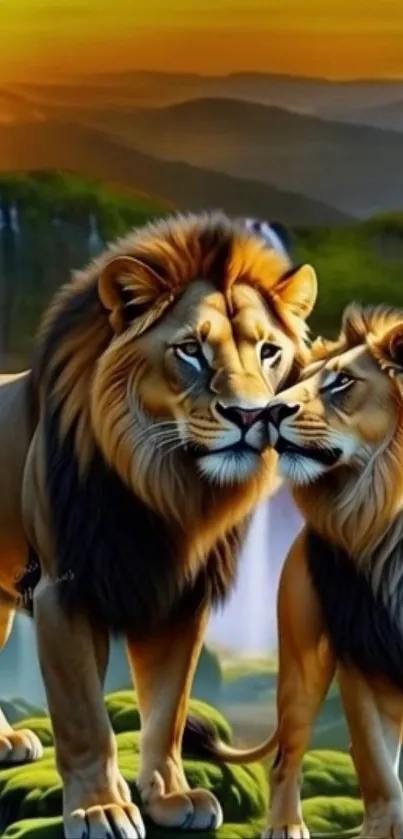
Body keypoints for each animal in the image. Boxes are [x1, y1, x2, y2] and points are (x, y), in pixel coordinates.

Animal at [0, 210, 317, 839]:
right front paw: (100, 808)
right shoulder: (63, 590)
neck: (166, 486)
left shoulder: (180, 596)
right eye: (191, 350)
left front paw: (170, 796)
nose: (253, 416)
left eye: (269, 351)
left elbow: (168, 709)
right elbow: (83, 717)